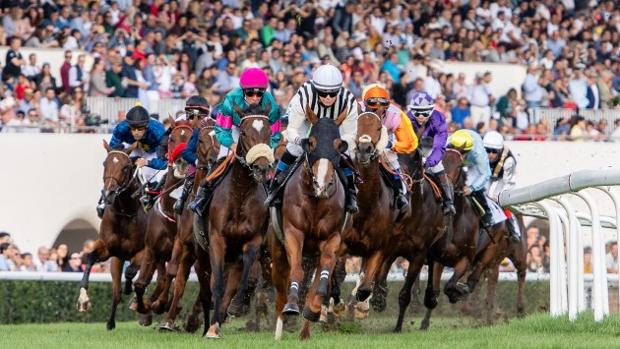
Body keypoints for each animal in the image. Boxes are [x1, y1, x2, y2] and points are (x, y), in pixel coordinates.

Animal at [77, 141, 148, 328]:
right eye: (104, 164)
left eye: (126, 167)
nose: (107, 194)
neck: (125, 213)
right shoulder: (109, 249)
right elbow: (90, 258)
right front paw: (83, 300)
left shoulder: (144, 252)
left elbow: (131, 272)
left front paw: (131, 292)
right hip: (116, 260)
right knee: (116, 290)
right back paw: (111, 322)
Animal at [134, 119, 193, 320]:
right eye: (172, 138)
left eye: (191, 138)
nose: (182, 162)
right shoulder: (152, 249)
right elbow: (141, 283)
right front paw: (142, 306)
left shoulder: (181, 251)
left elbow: (172, 279)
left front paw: (158, 305)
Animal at [200, 105, 274, 338]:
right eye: (243, 132)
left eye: (268, 131)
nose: (261, 167)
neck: (240, 192)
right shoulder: (217, 239)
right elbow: (217, 284)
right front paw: (212, 327)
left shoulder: (253, 240)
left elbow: (242, 280)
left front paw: (236, 306)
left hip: (234, 258)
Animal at [270, 106, 352, 340]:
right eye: (312, 142)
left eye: (339, 144)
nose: (321, 184)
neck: (315, 199)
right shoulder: (293, 233)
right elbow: (296, 271)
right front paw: (291, 306)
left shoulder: (332, 238)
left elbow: (322, 276)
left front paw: (315, 309)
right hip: (277, 251)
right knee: (280, 291)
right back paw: (279, 330)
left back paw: (305, 330)